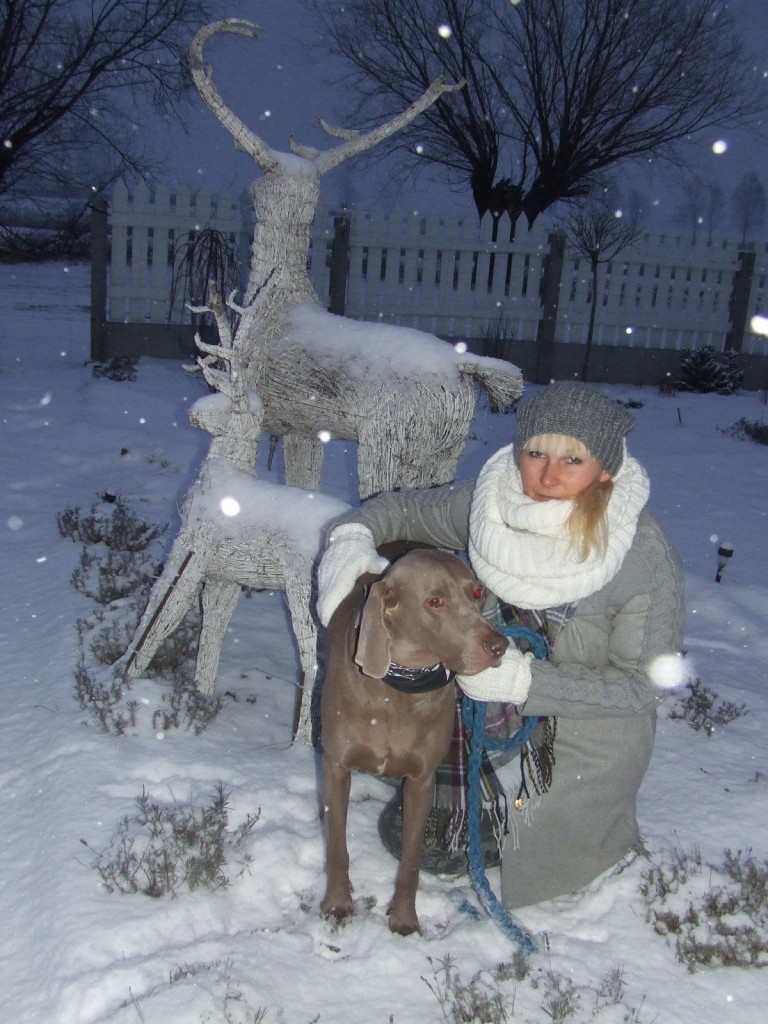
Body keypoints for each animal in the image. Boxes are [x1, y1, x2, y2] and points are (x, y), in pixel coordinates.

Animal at [319, 548, 512, 933]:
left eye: (477, 592)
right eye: (434, 601)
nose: (499, 645)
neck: (399, 689)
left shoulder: (421, 781)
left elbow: (410, 859)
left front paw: (405, 917)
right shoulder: (336, 768)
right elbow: (336, 846)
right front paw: (337, 903)